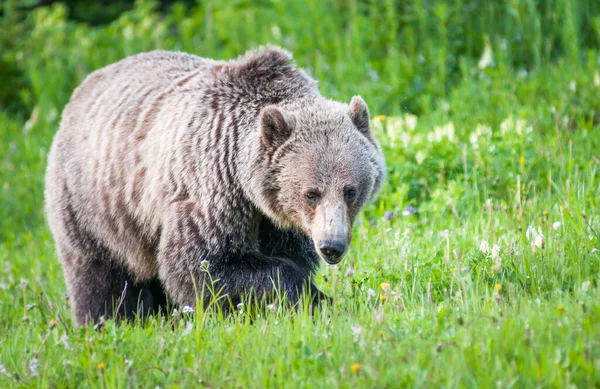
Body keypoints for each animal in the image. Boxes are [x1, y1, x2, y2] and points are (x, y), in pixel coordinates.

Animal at [44, 46, 386, 324]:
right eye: (311, 193)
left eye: (350, 190)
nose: (332, 246)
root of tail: (84, 87)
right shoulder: (210, 187)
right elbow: (203, 264)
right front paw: (312, 297)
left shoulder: (279, 220)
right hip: (95, 204)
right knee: (101, 276)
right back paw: (108, 321)